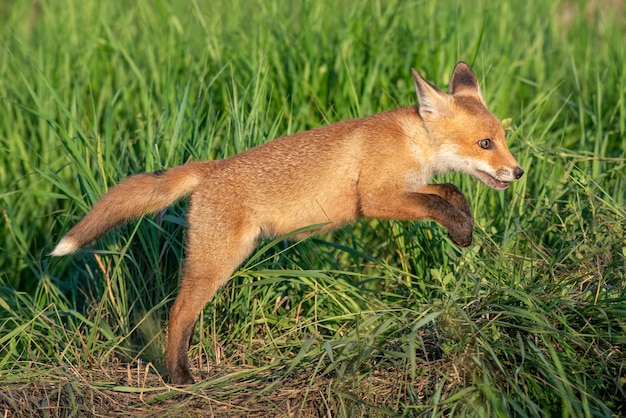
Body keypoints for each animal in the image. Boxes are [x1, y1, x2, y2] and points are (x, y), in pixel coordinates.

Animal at [52, 62, 520, 386]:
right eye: (485, 143)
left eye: (504, 139)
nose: (517, 172)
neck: (413, 141)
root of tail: (210, 168)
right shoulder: (376, 200)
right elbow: (438, 204)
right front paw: (461, 230)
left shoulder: (409, 188)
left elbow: (451, 193)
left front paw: (466, 227)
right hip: (216, 263)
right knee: (177, 313)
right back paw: (180, 378)